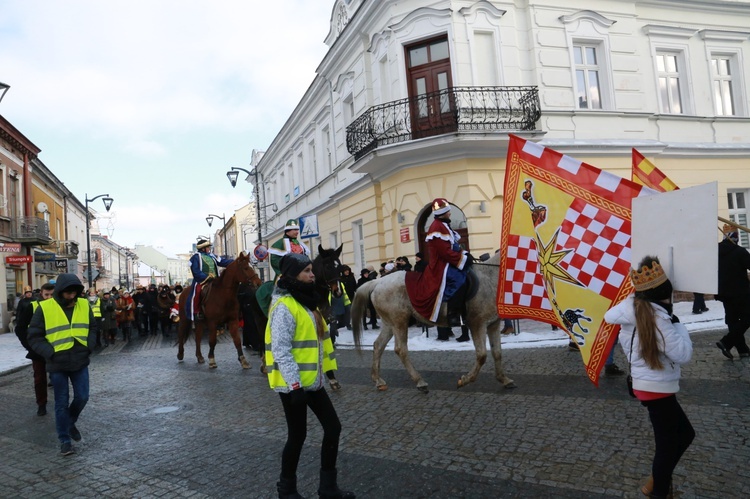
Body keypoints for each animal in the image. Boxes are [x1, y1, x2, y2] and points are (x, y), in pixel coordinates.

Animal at [352, 254, 516, 394]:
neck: (490, 277)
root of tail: (378, 281)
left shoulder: (493, 324)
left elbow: (497, 353)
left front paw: (504, 379)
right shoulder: (477, 324)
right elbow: (482, 356)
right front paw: (464, 380)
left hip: (389, 323)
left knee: (378, 345)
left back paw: (378, 380)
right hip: (400, 321)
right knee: (401, 349)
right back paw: (420, 382)